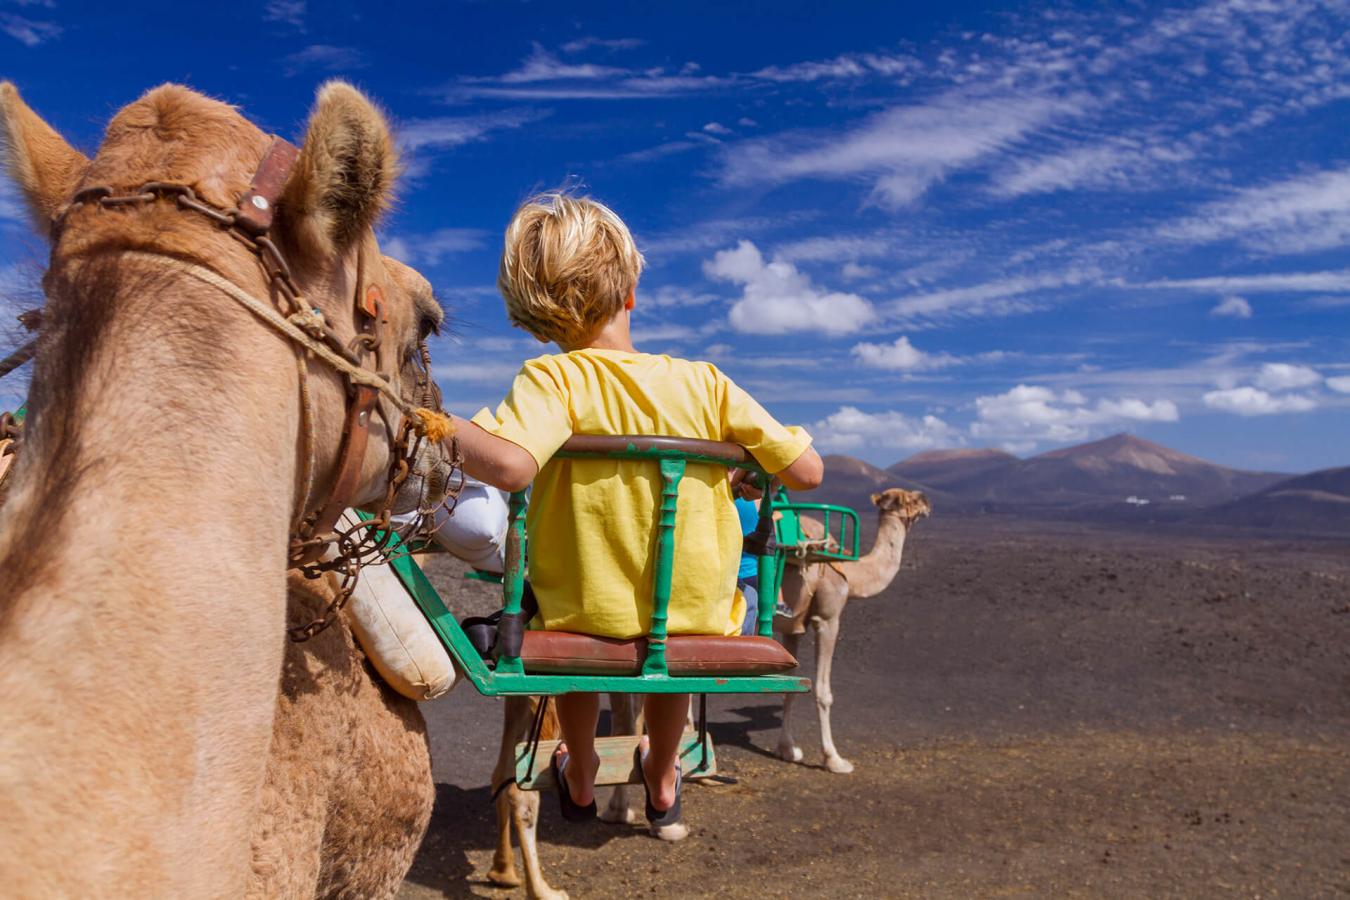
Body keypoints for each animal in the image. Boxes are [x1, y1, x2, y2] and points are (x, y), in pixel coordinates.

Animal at [777, 493, 934, 777]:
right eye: (908, 499)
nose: (927, 502)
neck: (850, 573)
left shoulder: (793, 627)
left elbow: (790, 688)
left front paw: (788, 750)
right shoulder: (827, 619)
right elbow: (823, 691)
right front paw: (835, 760)